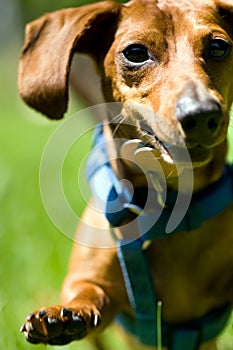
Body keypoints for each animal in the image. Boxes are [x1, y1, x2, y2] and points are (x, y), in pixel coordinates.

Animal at [18, 0, 233, 350]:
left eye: (218, 47)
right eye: (135, 52)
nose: (201, 115)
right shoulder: (95, 284)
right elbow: (88, 291)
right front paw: (66, 313)